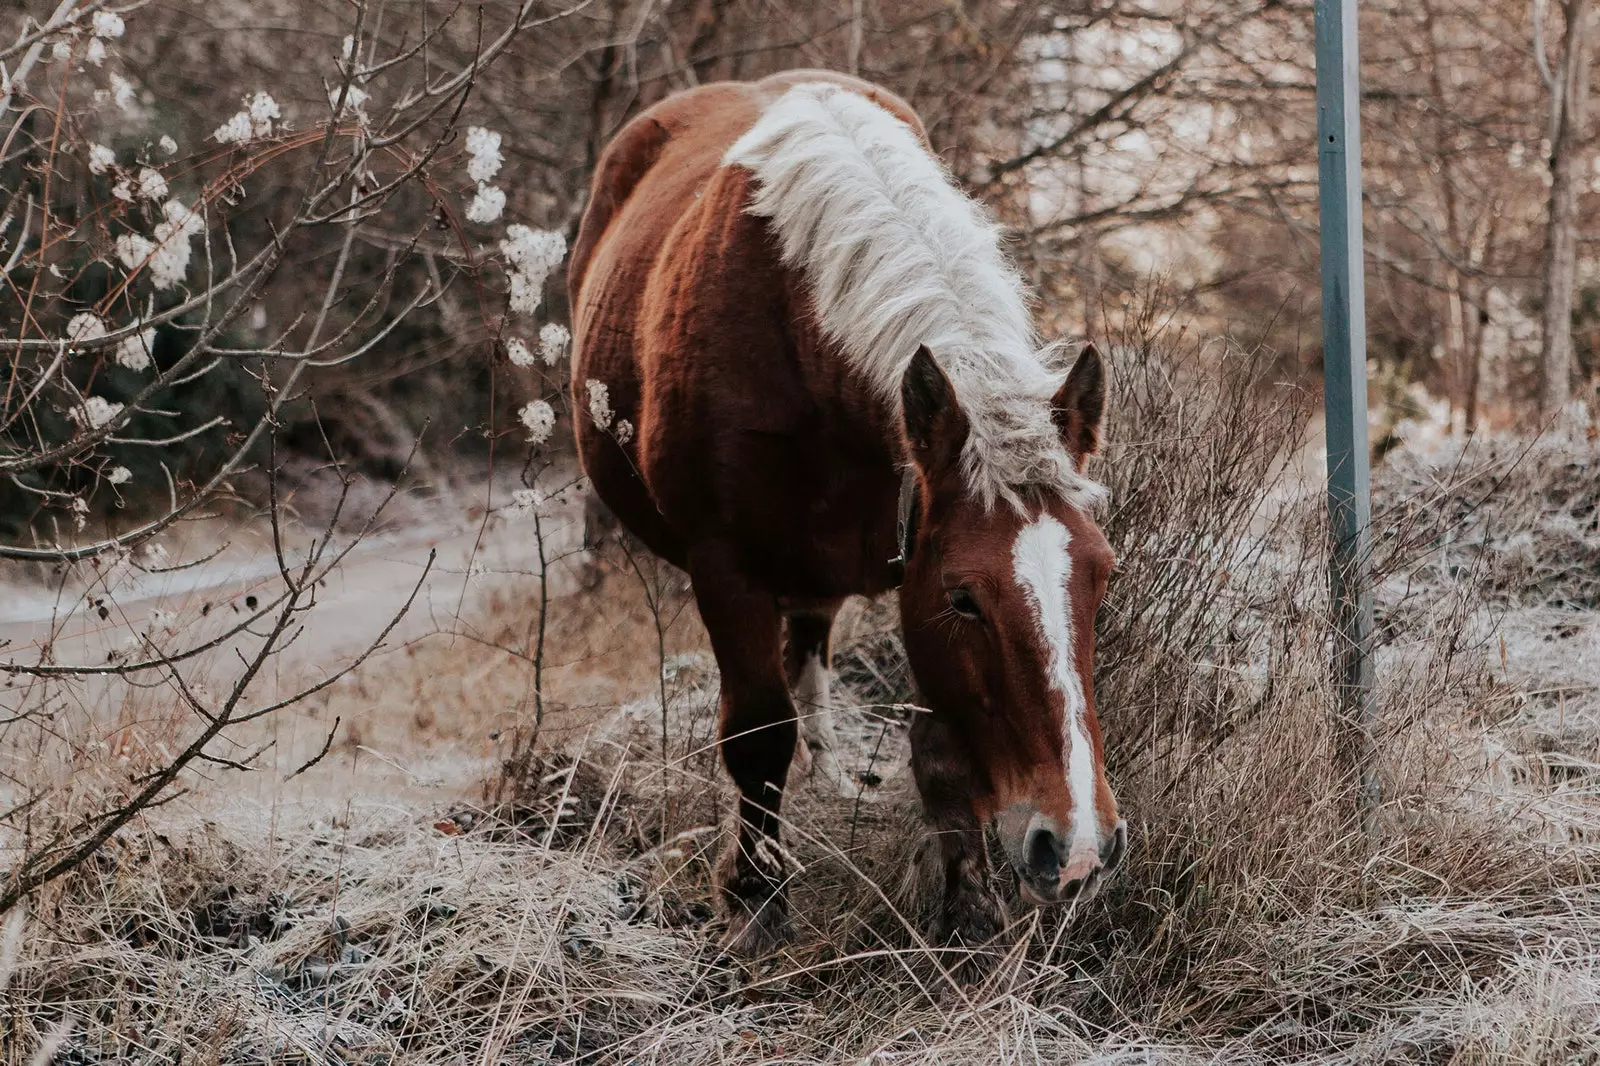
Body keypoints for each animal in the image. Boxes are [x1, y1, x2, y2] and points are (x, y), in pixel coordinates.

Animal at [566, 70, 1126, 960]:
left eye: (1102, 580)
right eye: (966, 598)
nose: (1075, 848)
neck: (799, 328)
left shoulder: (908, 558)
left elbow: (940, 747)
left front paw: (966, 912)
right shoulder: (728, 569)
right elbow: (758, 734)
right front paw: (756, 901)